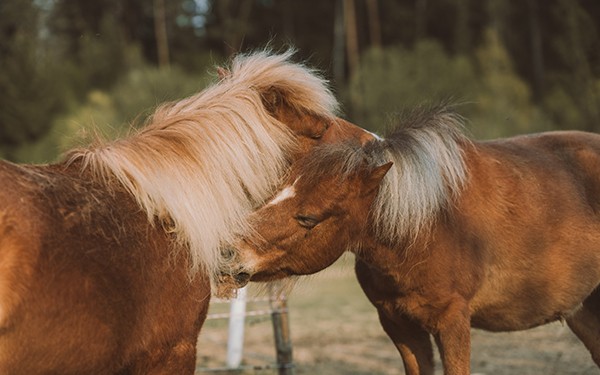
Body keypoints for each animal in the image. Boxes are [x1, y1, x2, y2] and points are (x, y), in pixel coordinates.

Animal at [231, 105, 600, 375]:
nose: (230, 253)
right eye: (275, 190)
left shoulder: (453, 323)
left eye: (308, 217)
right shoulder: (400, 326)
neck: (427, 224)